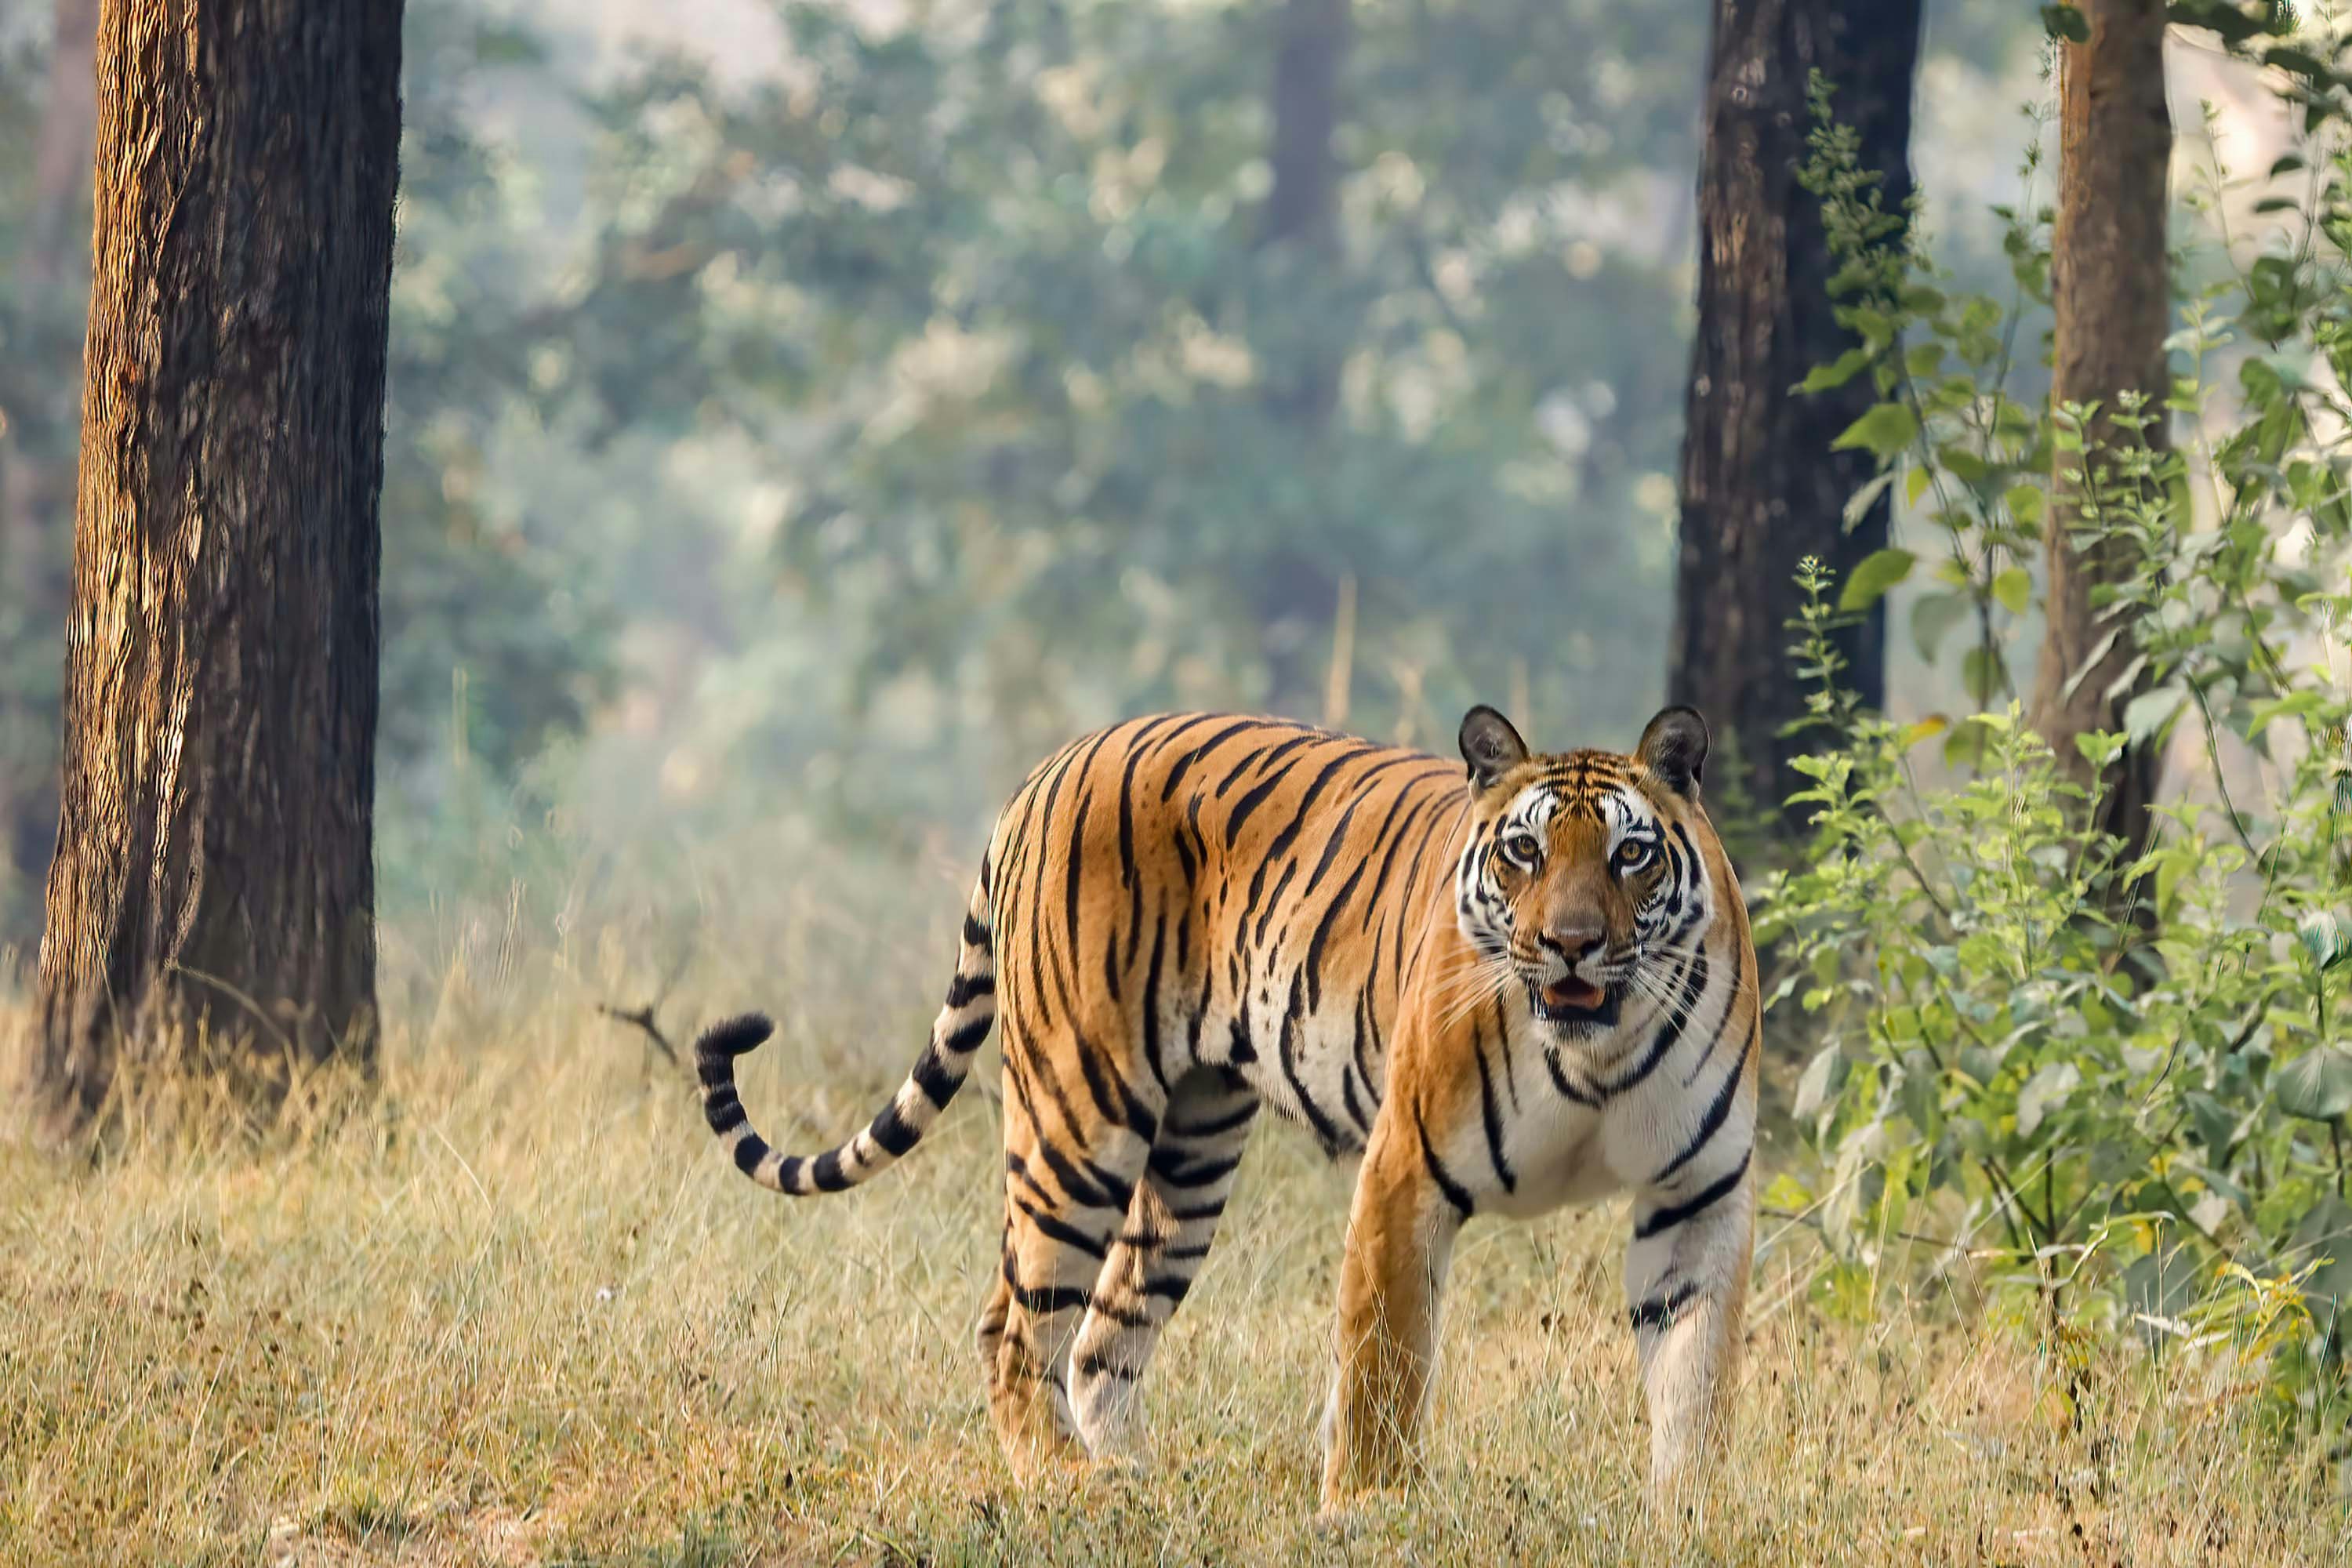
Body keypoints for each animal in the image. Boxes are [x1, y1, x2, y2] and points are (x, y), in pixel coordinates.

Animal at [691, 704, 1760, 1509]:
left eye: (1630, 855)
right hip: (1079, 1116)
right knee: (1015, 1323)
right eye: (1525, 851)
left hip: (1192, 1151)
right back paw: (1064, 1484)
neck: (1594, 1051)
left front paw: (1687, 1518)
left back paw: (1134, 1480)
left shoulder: (1699, 1193)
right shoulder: (1405, 1170)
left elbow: (1695, 1378)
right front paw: (1368, 1513)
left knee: (1103, 1336)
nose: (1572, 944)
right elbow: (1382, 1365)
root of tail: (1047, 767)